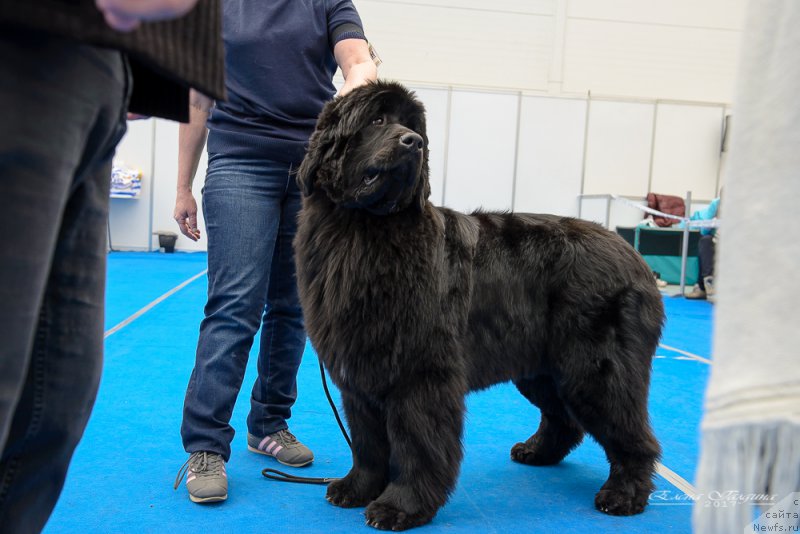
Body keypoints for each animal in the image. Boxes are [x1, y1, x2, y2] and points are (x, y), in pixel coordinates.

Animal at [294, 80, 664, 532]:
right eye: (377, 120)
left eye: (412, 126)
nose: (413, 142)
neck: (364, 231)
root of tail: (633, 254)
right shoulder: (361, 375)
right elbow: (366, 441)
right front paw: (356, 488)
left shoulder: (420, 374)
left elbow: (416, 443)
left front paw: (402, 506)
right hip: (544, 368)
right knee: (563, 418)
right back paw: (537, 452)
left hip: (594, 369)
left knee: (631, 431)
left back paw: (623, 494)